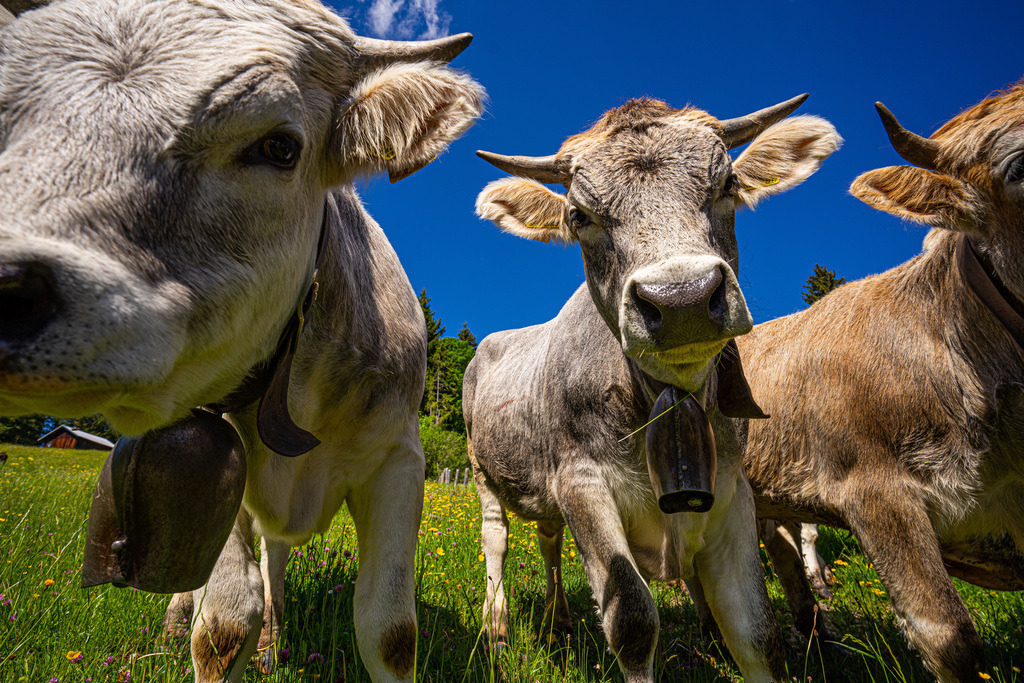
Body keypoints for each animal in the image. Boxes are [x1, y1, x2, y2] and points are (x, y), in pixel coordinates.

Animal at [0, 1, 484, 681]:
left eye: (279, 147)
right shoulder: (218, 466)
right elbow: (224, 621)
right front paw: (211, 629)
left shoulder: (399, 458)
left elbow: (390, 630)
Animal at [466, 96, 841, 682]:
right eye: (579, 217)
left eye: (728, 183)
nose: (682, 297)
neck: (668, 399)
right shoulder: (581, 482)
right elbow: (632, 619)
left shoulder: (733, 493)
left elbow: (757, 633)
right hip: (483, 473)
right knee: (496, 542)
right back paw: (498, 630)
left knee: (548, 543)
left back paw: (559, 621)